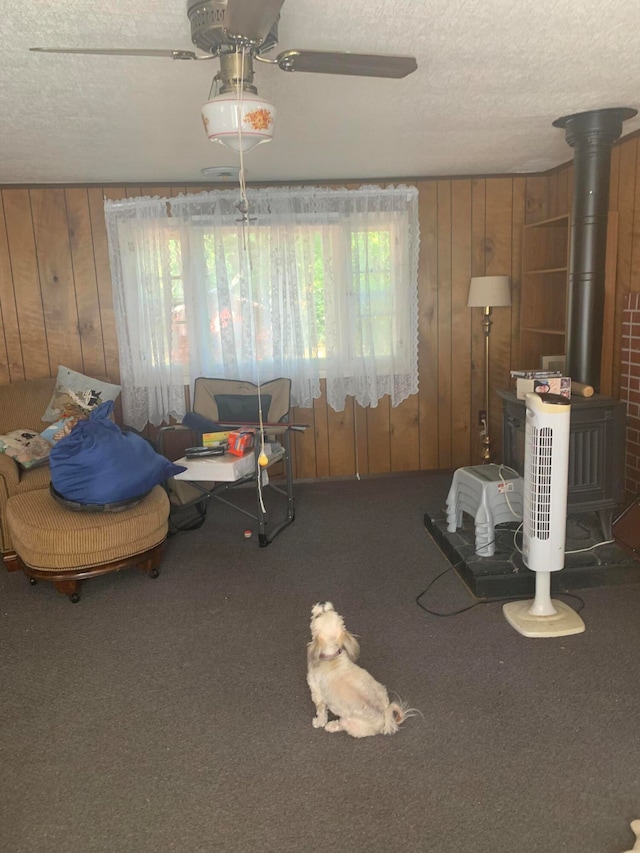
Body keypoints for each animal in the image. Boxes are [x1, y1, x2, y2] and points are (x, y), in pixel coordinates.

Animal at [306, 604, 416, 736]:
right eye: (329, 609)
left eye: (317, 616)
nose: (322, 602)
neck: (332, 657)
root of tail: (385, 716)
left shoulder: (316, 691)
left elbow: (321, 710)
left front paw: (318, 722)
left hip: (349, 723)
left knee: (342, 725)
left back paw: (332, 726)